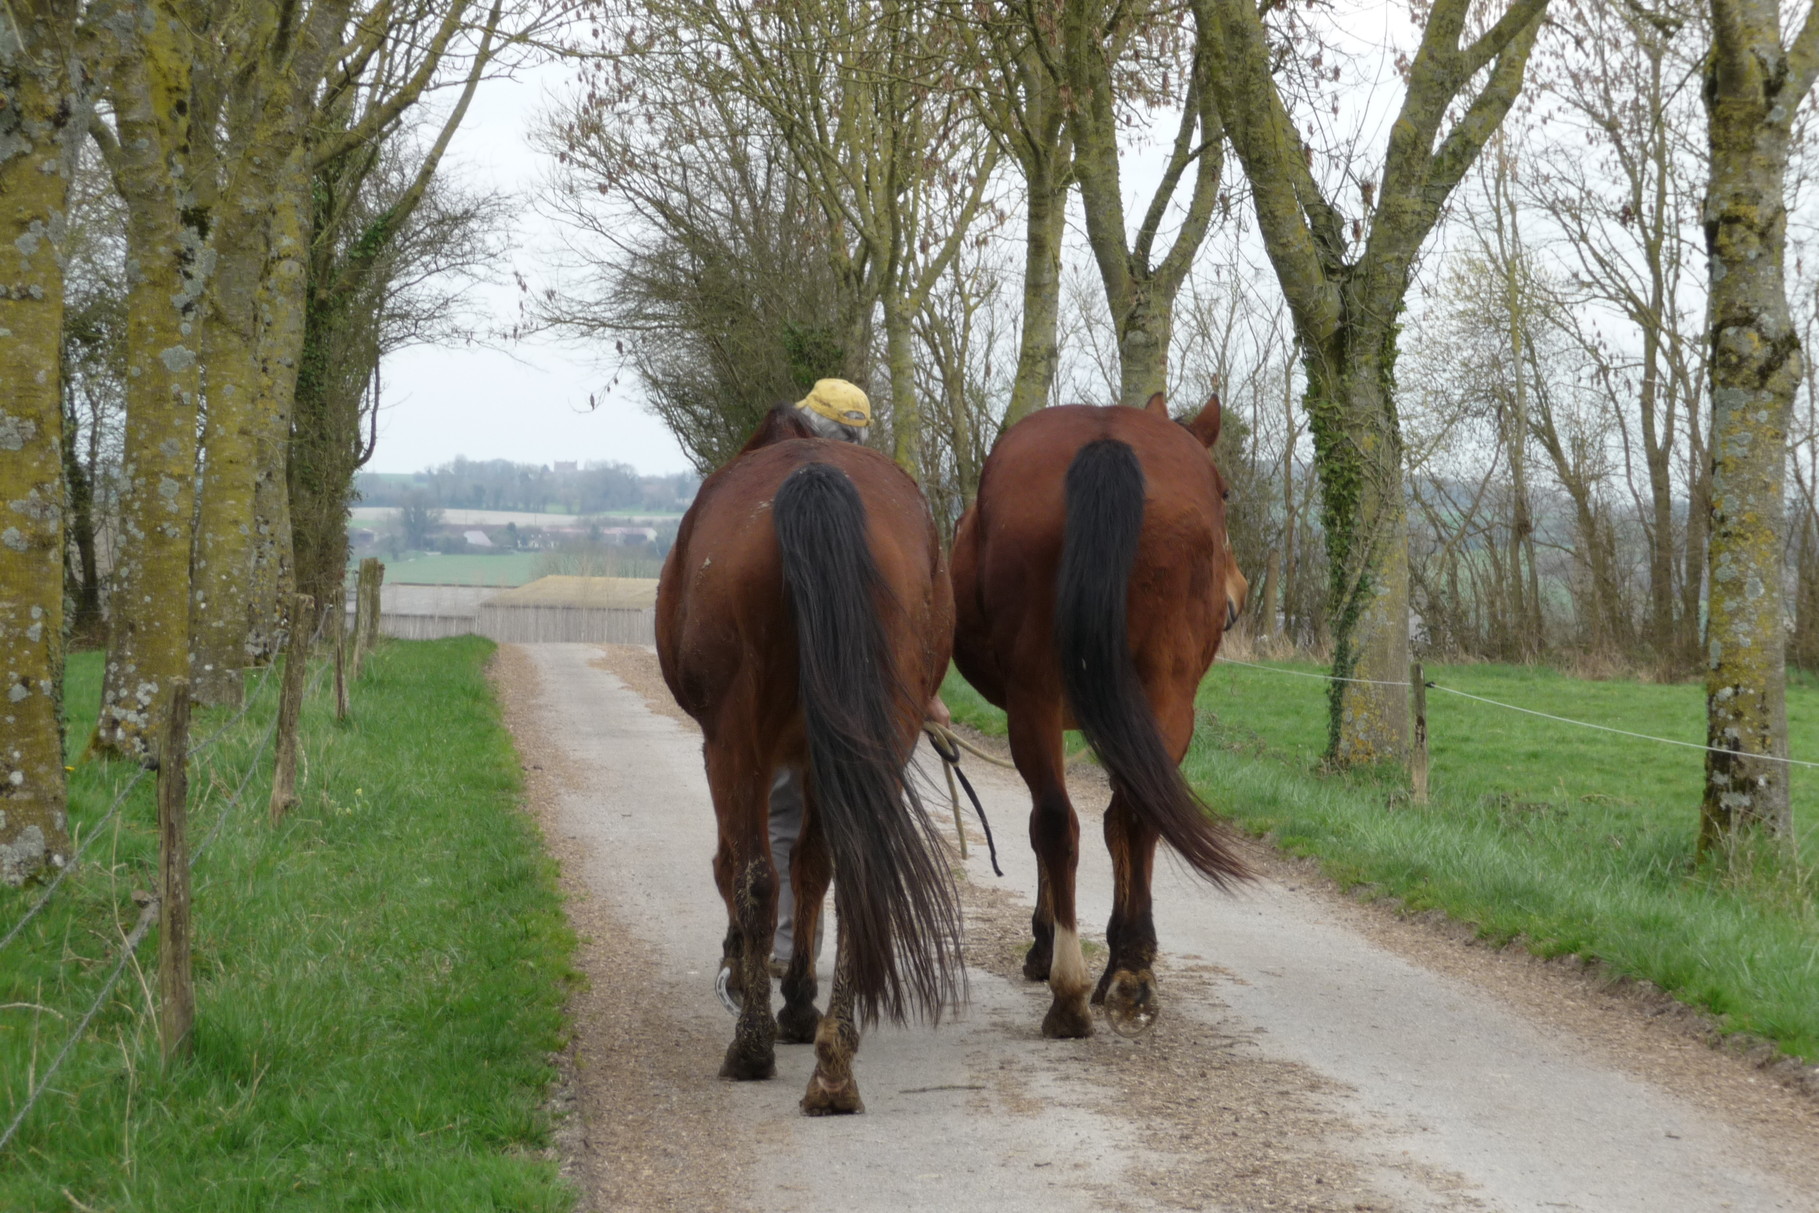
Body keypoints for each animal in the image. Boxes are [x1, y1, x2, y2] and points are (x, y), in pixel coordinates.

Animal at [658, 411, 967, 1120]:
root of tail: (815, 478)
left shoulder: (742, 750)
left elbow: (746, 869)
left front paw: (766, 994)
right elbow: (814, 868)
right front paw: (798, 1003)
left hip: (735, 740)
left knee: (753, 876)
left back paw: (752, 1047)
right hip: (878, 737)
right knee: (852, 873)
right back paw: (834, 1065)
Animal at [953, 394, 1251, 1040]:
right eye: (1225, 492)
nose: (1237, 594)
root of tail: (1107, 443)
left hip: (1047, 697)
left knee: (1063, 819)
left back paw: (1085, 983)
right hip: (1153, 697)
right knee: (1115, 816)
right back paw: (1116, 978)